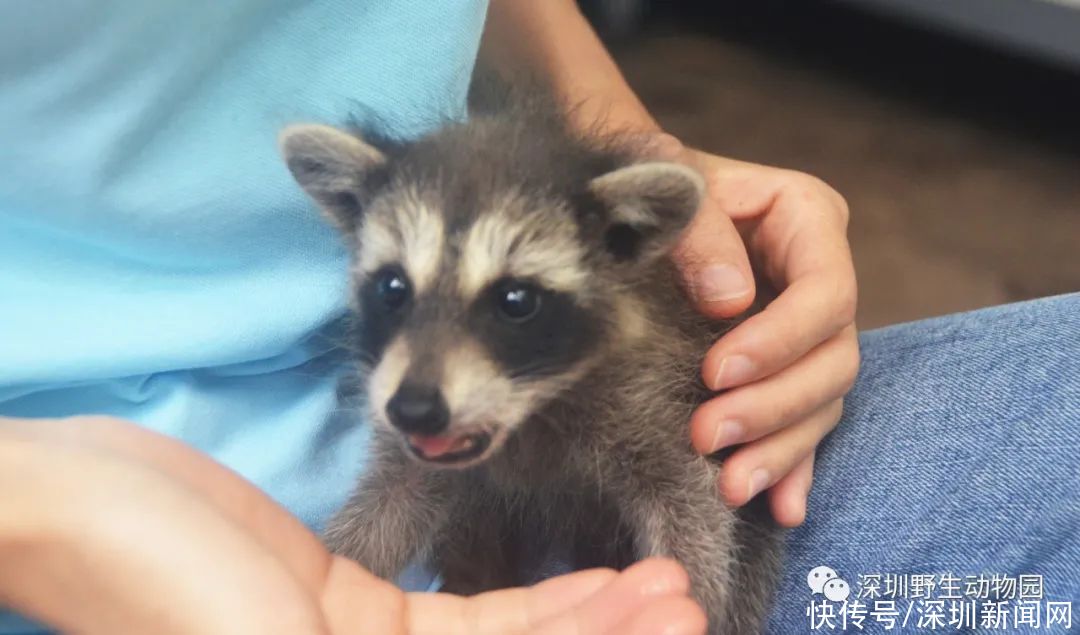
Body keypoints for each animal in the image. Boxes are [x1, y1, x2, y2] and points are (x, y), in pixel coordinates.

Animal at [282, 88, 781, 630]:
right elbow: (390, 505)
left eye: (516, 301)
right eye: (392, 288)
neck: (529, 411)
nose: (413, 410)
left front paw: (698, 607)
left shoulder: (654, 397)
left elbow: (691, 508)